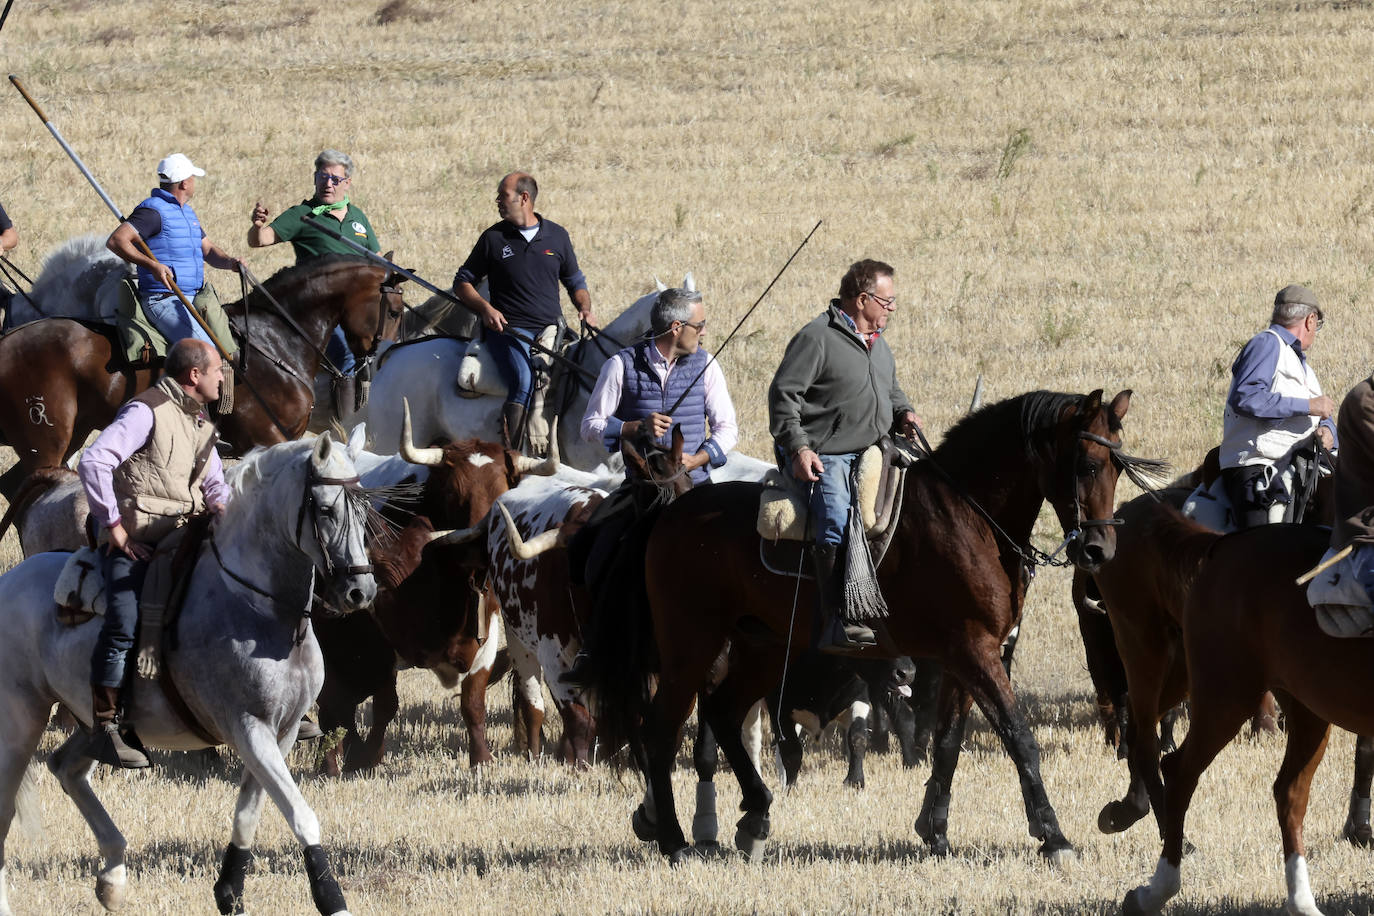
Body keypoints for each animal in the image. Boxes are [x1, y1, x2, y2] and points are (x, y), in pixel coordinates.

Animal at [0, 254, 401, 497]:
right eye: (395, 310)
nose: (379, 362)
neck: (275, 339)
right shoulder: (266, 436)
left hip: (71, 434)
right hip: (46, 441)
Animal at [0, 436, 376, 916]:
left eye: (364, 511)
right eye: (326, 509)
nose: (360, 591)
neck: (257, 605)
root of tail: (8, 583)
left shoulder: (284, 732)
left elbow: (249, 814)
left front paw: (229, 892)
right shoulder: (248, 728)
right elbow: (301, 816)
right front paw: (333, 901)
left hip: (90, 723)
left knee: (67, 768)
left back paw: (113, 877)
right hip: (21, 721)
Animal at [568, 390, 1159, 862]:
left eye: (1117, 466)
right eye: (1086, 464)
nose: (1099, 550)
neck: (967, 515)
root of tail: (668, 513)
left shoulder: (964, 658)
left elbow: (948, 742)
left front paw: (935, 831)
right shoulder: (976, 653)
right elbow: (1019, 737)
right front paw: (1053, 836)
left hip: (762, 645)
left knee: (723, 712)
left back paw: (755, 816)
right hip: (692, 646)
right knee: (661, 728)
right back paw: (673, 838)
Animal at [1121, 521, 1368, 916]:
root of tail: (1224, 547)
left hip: (1305, 707)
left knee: (1290, 793)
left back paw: (1302, 902)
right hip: (1226, 695)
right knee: (1179, 772)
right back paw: (1156, 890)